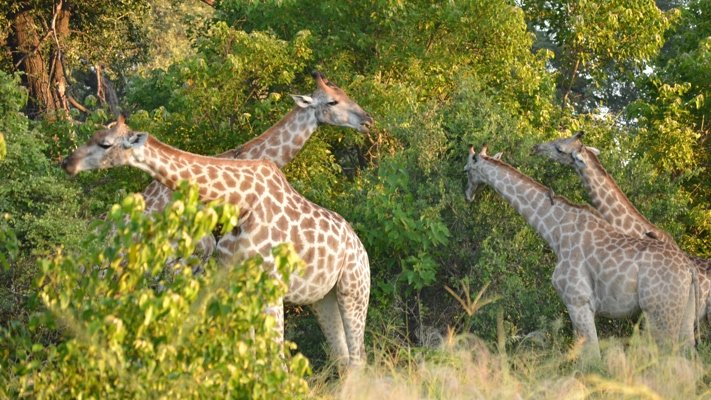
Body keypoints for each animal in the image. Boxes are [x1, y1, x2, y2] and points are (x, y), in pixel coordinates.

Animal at [61, 115, 372, 366]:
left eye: (105, 144)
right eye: (93, 137)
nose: (68, 163)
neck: (242, 202)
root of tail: (361, 247)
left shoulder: (270, 287)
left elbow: (273, 358)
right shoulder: (233, 283)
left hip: (352, 289)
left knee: (356, 358)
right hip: (323, 299)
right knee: (344, 358)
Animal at [464, 145, 700, 358]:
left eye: (466, 169)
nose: (467, 194)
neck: (555, 231)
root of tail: (689, 271)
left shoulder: (578, 301)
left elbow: (591, 358)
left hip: (660, 314)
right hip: (685, 315)